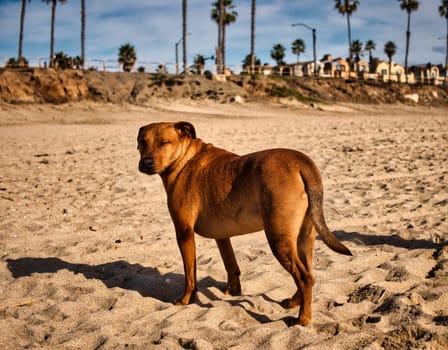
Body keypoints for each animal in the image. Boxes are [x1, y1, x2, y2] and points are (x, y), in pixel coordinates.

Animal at [138, 121, 352, 326]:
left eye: (165, 143)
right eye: (142, 142)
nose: (146, 162)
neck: (184, 159)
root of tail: (302, 162)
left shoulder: (184, 233)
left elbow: (190, 274)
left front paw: (185, 299)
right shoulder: (222, 236)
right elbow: (231, 265)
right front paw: (232, 291)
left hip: (279, 239)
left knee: (304, 278)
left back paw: (303, 319)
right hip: (304, 238)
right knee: (308, 272)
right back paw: (294, 302)